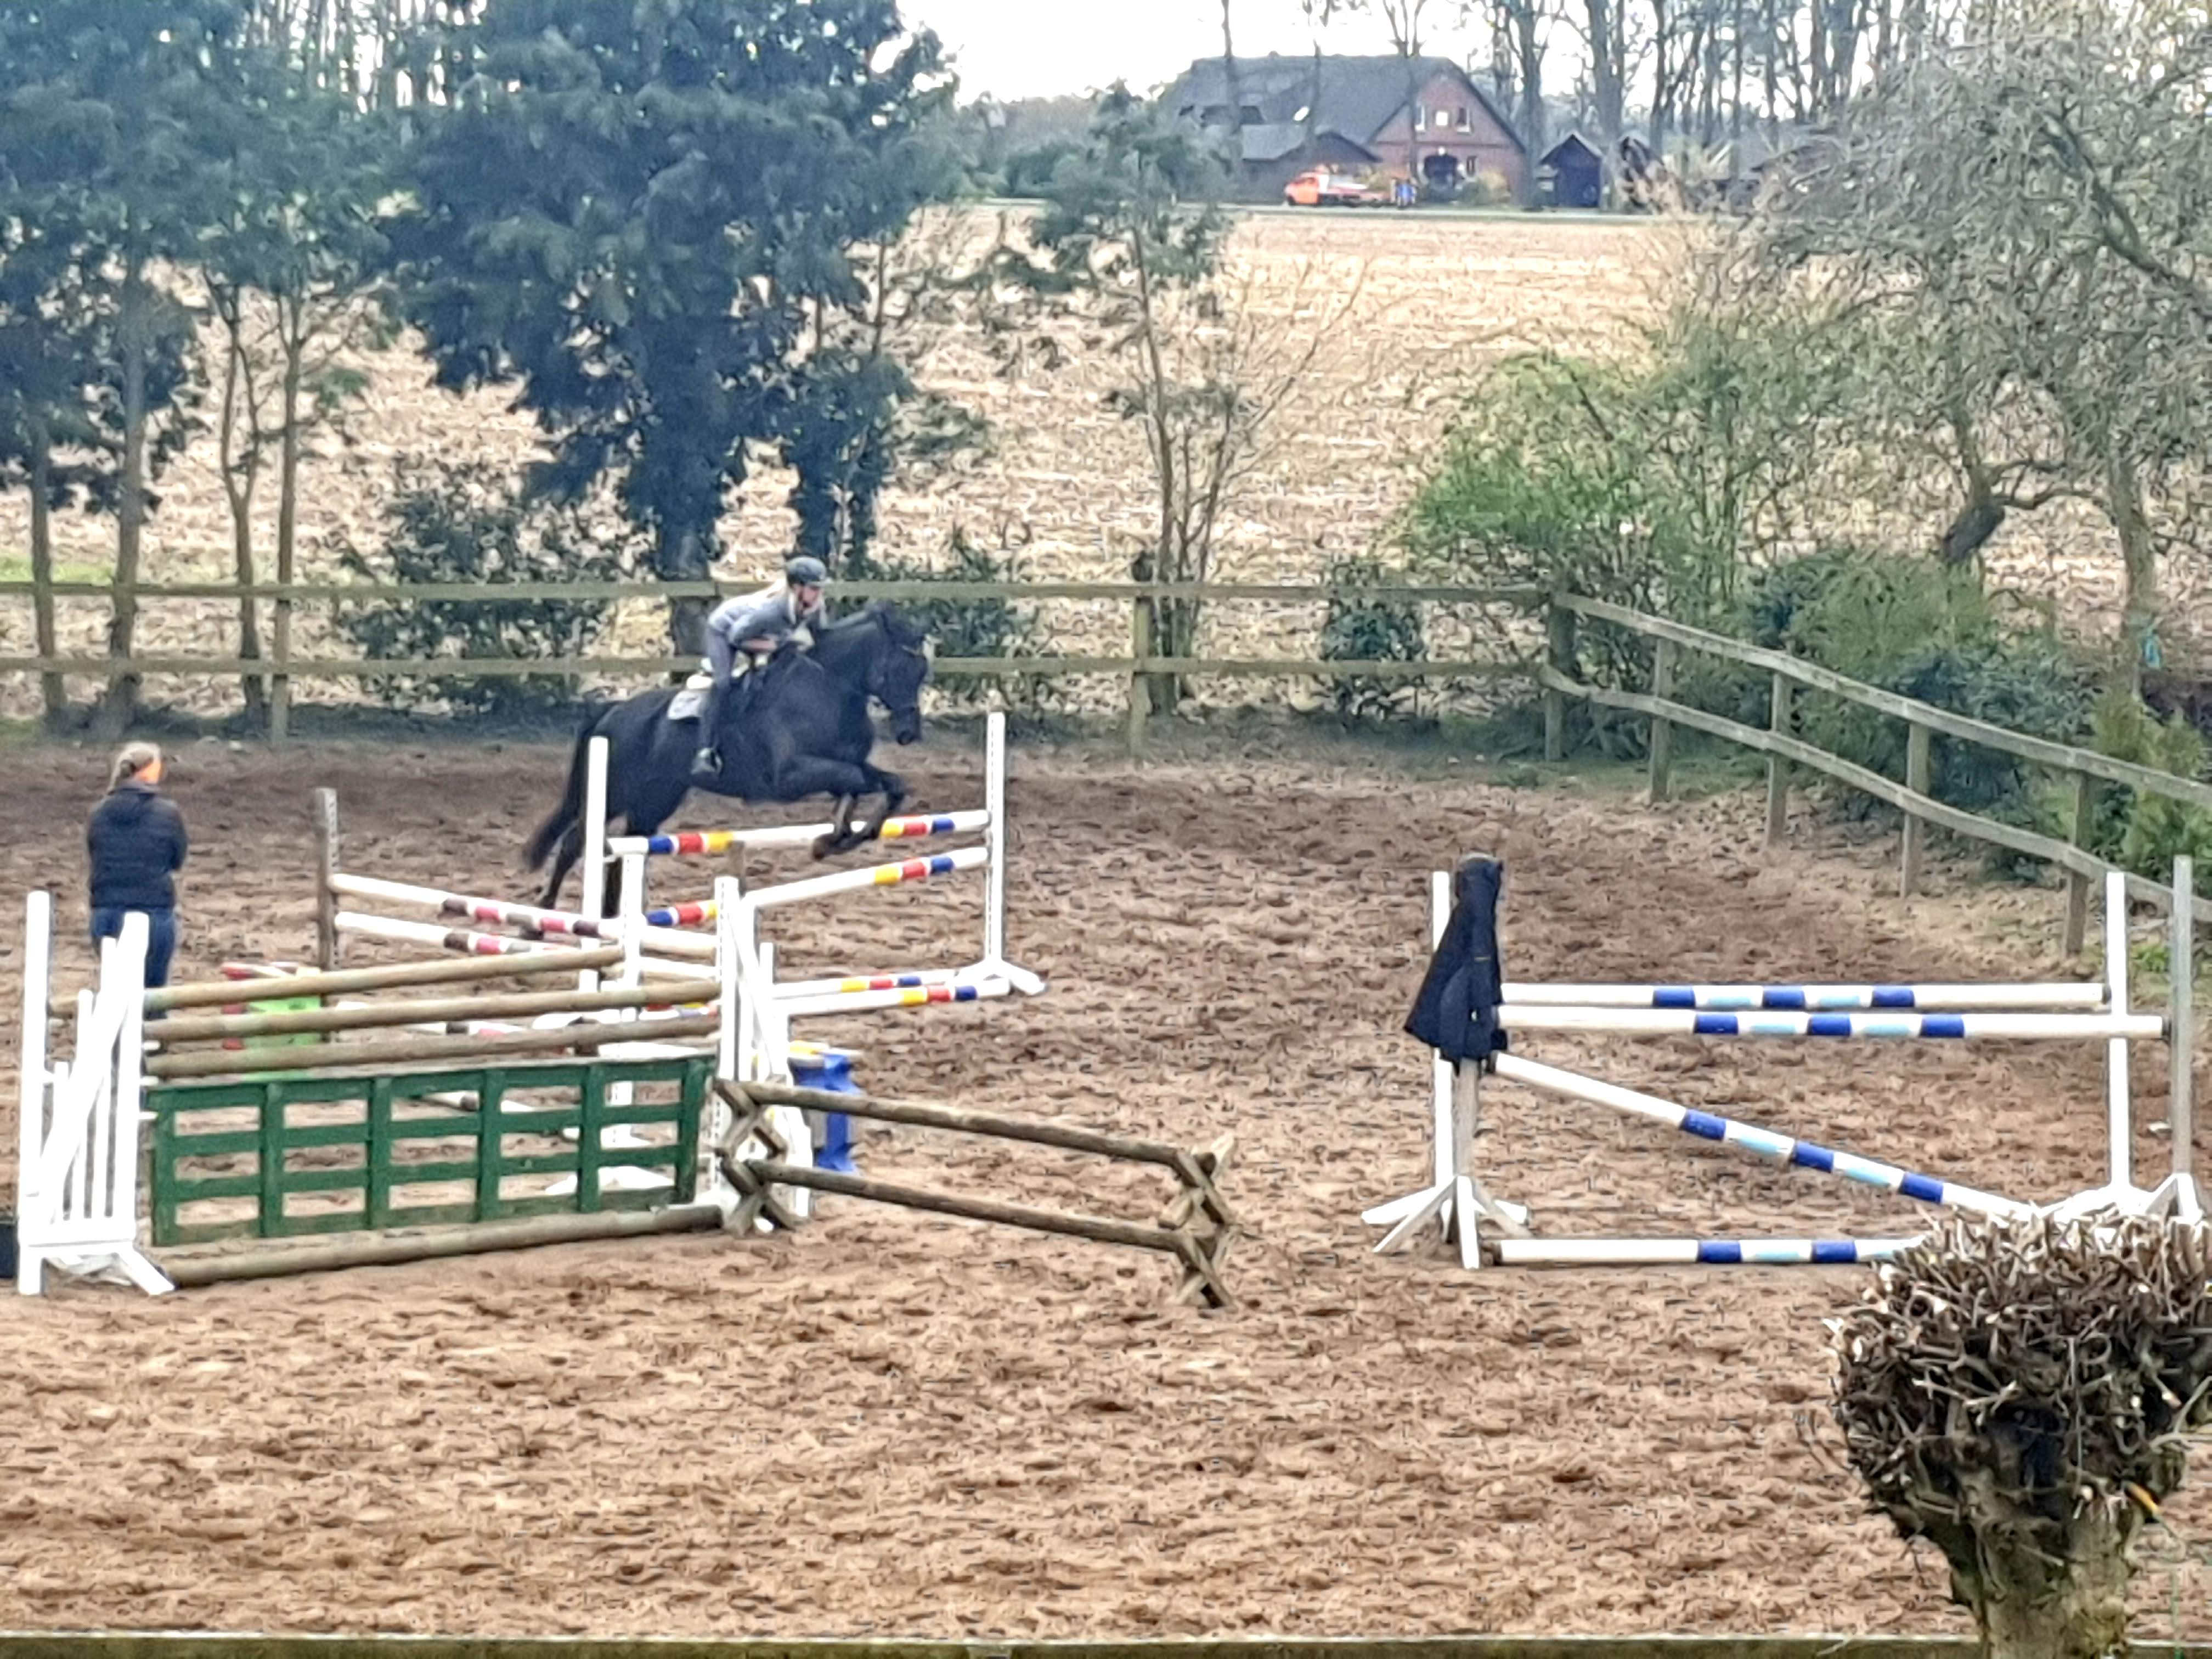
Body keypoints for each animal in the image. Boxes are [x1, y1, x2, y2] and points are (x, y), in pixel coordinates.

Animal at [524, 602, 933, 911]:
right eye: (898, 669)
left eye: (921, 671)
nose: (909, 733)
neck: (829, 687)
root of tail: (613, 712)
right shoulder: (791, 777)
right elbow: (858, 782)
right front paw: (832, 841)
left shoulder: (840, 768)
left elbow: (885, 785)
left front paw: (836, 841)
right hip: (615, 792)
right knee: (576, 840)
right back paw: (545, 914)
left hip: (655, 800)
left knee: (627, 849)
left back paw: (611, 920)